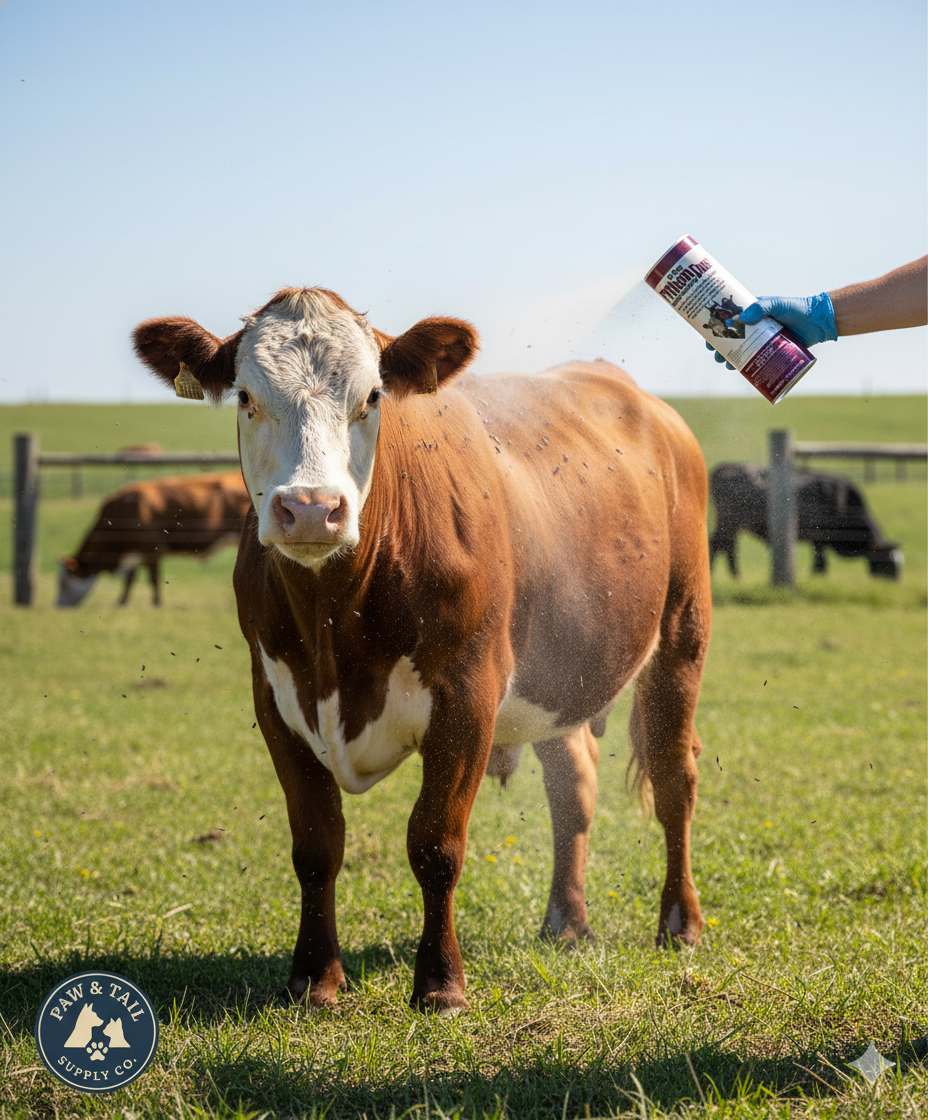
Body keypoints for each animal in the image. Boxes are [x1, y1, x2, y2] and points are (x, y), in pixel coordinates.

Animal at [57, 471, 252, 607]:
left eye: (64, 583)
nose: (57, 606)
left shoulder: (152, 551)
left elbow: (153, 579)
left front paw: (156, 604)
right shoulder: (135, 554)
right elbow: (130, 579)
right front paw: (121, 603)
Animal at [133, 287, 712, 1013]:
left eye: (373, 396)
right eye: (246, 397)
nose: (312, 508)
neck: (335, 627)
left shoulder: (466, 698)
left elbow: (436, 843)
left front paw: (440, 984)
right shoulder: (276, 700)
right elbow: (316, 844)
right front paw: (315, 980)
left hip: (681, 632)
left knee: (674, 779)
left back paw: (680, 923)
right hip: (560, 667)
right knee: (573, 783)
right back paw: (567, 921)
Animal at [709, 463, 903, 578]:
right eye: (888, 563)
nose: (896, 581)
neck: (842, 500)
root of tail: (725, 467)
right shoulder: (820, 536)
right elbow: (820, 559)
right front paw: (818, 575)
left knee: (725, 546)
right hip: (729, 523)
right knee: (718, 545)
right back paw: (729, 575)